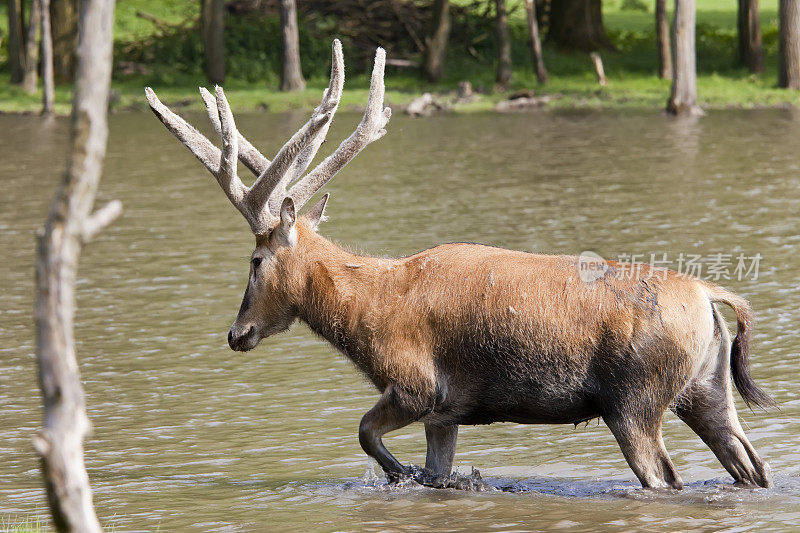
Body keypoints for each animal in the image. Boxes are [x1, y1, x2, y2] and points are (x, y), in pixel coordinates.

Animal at [145, 40, 776, 490]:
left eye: (254, 259)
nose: (237, 332)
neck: (365, 314)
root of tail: (710, 295)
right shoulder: (445, 414)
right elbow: (433, 466)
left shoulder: (416, 385)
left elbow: (364, 433)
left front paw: (399, 473)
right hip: (706, 390)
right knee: (750, 464)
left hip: (634, 401)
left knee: (667, 478)